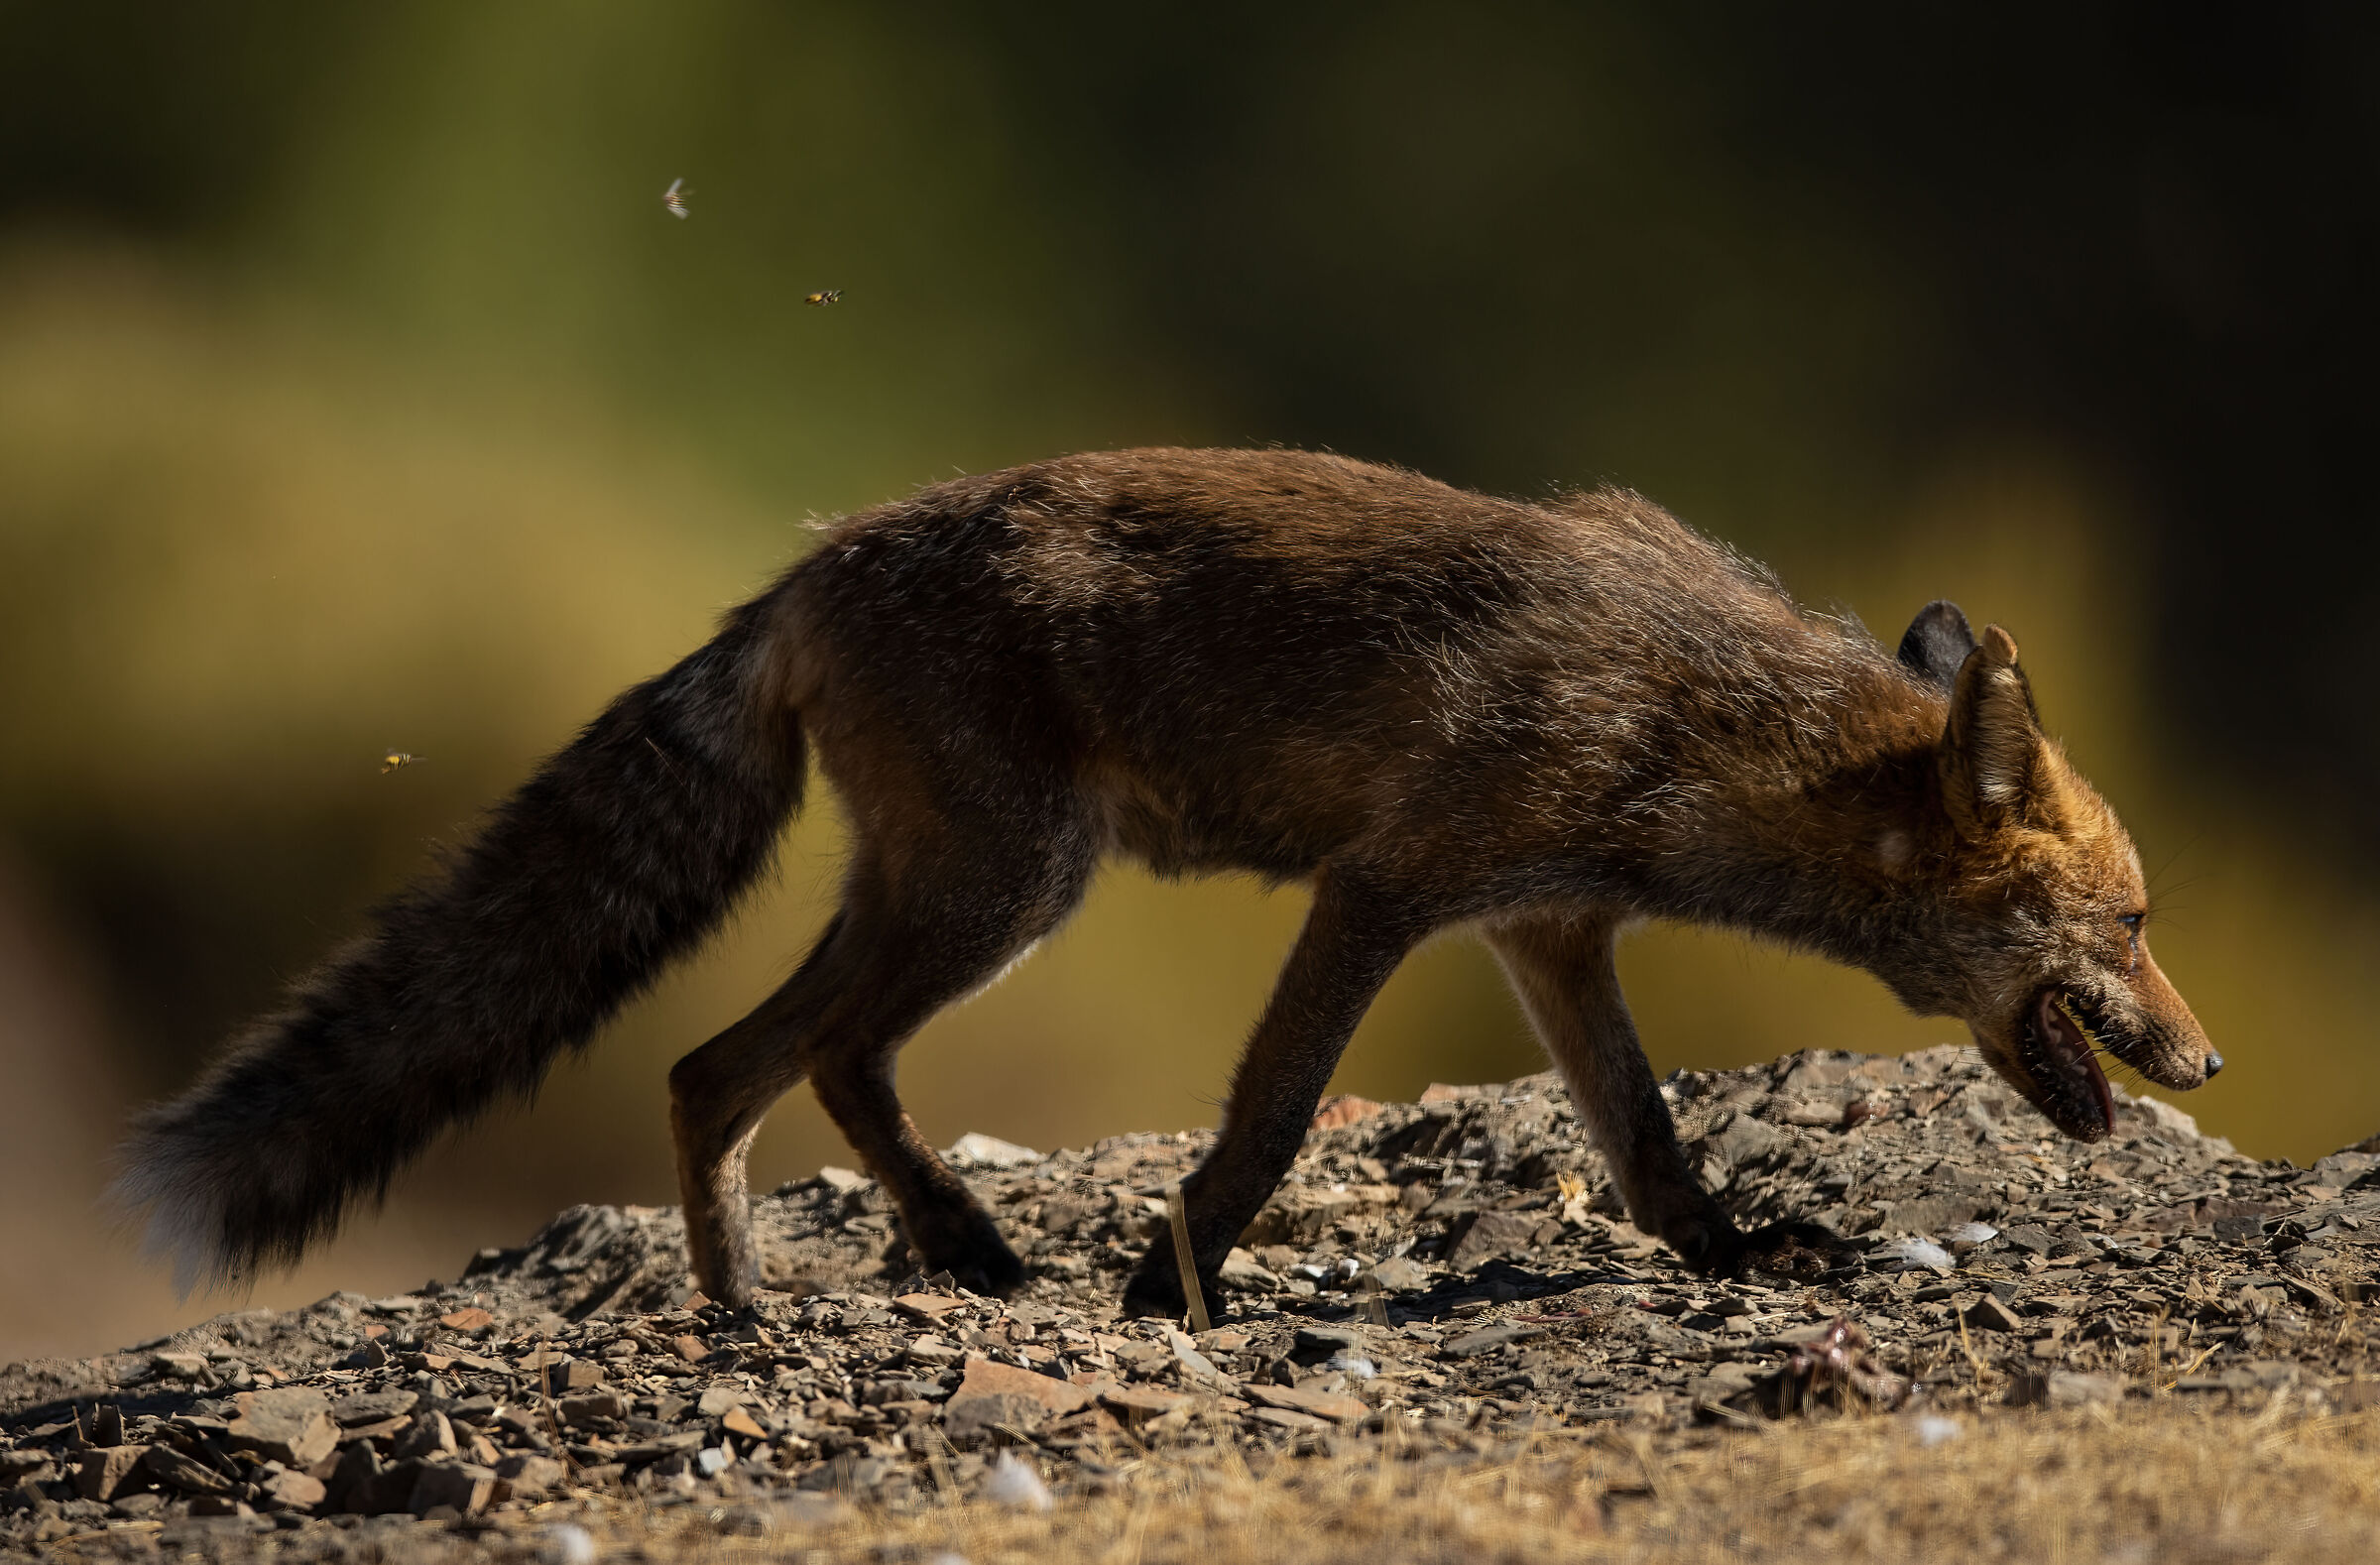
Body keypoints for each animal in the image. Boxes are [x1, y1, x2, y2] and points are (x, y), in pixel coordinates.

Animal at [117, 447, 2220, 1319]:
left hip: (969, 893)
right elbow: (1273, 1118)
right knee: (738, 1063)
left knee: (791, 1065)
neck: (1701, 722)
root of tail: (808, 563)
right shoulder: (1392, 884)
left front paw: (1730, 1255)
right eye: (2130, 926)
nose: (2205, 1063)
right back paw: (754, 1306)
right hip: (1004, 888)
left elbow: (1642, 1143)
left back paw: (934, 1250)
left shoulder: (1548, 923)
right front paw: (1177, 1280)